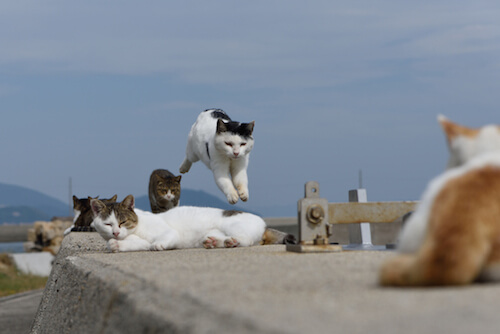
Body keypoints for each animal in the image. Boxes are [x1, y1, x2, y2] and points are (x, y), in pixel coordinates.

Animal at [91, 194, 294, 252]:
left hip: (234, 226)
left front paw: (159, 245)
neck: (137, 228)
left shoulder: (168, 232)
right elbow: (135, 244)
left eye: (123, 222)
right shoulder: (139, 241)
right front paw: (116, 244)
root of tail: (264, 224)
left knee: (246, 240)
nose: (116, 233)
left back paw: (231, 242)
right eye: (108, 224)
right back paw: (214, 242)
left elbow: (161, 239)